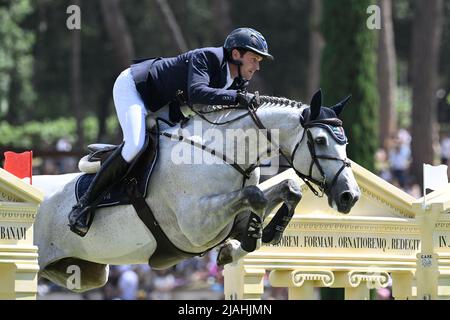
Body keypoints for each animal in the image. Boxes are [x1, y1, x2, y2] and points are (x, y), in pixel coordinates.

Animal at [33, 90, 360, 292]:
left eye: (345, 141)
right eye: (320, 140)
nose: (350, 196)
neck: (224, 153)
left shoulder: (228, 218)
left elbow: (288, 189)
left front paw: (255, 238)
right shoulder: (196, 227)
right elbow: (255, 196)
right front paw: (250, 238)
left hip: (82, 274)